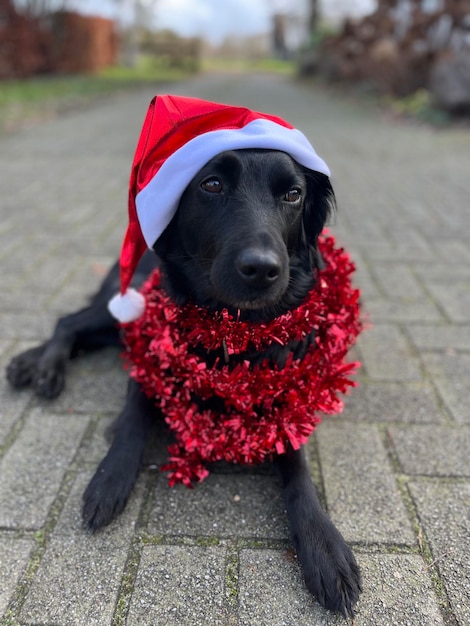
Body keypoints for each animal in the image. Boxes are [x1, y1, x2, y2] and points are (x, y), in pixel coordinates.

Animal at [6, 150, 360, 616]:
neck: (230, 333)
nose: (262, 269)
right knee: (69, 322)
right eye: (211, 185)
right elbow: (133, 420)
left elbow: (299, 471)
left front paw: (324, 546)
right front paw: (108, 479)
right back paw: (43, 368)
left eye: (293, 193)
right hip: (127, 303)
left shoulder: (284, 393)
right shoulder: (151, 353)